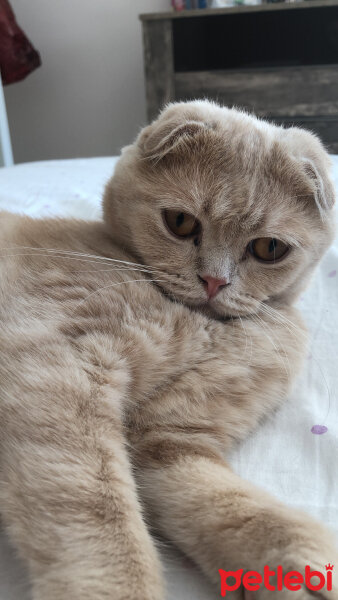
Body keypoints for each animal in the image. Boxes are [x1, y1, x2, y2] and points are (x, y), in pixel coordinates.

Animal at [0, 101, 336, 596]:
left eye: (269, 248)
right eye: (181, 223)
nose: (214, 281)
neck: (206, 325)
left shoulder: (171, 437)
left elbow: (227, 503)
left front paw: (299, 569)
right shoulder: (54, 372)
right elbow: (96, 514)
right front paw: (118, 585)